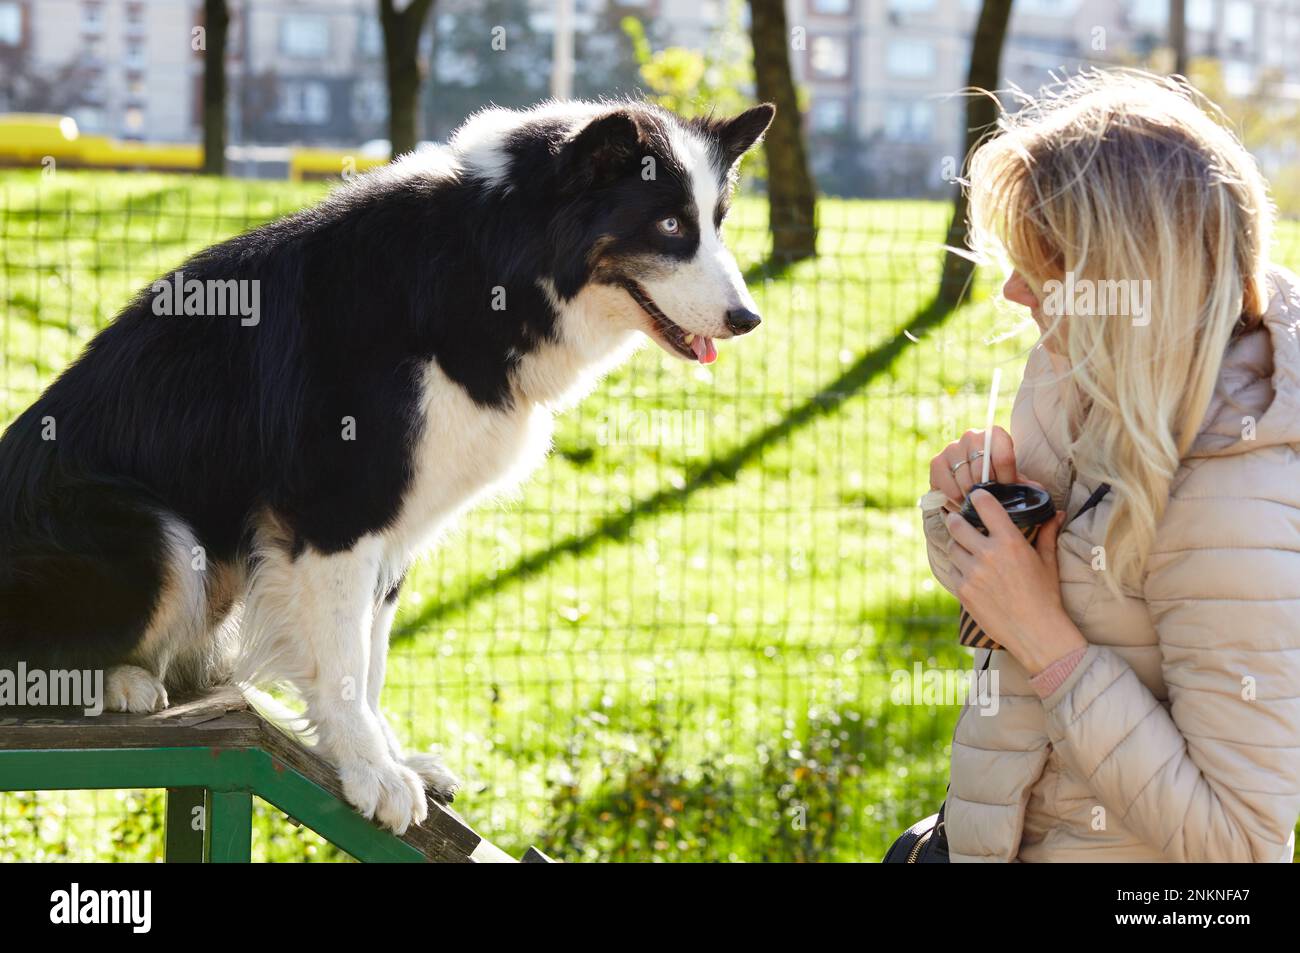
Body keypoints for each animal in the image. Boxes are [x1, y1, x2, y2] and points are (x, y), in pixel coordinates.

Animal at [0, 98, 769, 832]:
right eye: (669, 224)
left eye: (718, 221)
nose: (748, 319)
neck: (493, 263)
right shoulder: (335, 512)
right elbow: (343, 661)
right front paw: (372, 772)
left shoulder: (395, 529)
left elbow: (369, 656)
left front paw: (393, 759)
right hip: (152, 532)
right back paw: (117, 682)